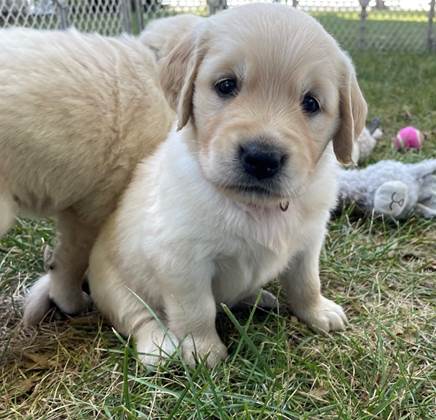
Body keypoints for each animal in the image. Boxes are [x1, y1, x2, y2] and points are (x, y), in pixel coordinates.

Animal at [87, 4, 366, 370]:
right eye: (226, 85)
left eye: (311, 103)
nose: (262, 157)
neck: (255, 206)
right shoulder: (182, 260)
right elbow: (197, 309)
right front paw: (202, 350)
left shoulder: (308, 242)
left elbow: (306, 281)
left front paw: (317, 311)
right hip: (111, 284)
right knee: (137, 315)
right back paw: (157, 345)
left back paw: (258, 297)